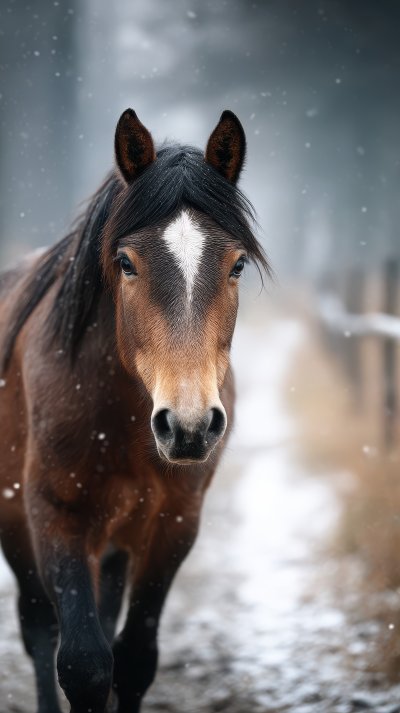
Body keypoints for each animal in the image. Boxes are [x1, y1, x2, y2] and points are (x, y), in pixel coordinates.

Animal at [0, 108, 268, 713]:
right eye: (126, 262)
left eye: (237, 265)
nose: (189, 427)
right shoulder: (54, 516)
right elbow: (82, 663)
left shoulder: (174, 525)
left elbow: (134, 659)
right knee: (38, 628)